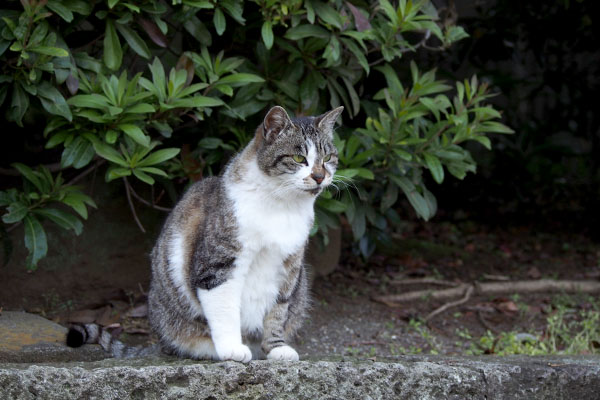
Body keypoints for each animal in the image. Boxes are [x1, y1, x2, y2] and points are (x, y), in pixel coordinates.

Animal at [67, 104, 342, 362]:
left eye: (328, 156)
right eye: (298, 158)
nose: (320, 176)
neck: (282, 206)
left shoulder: (288, 268)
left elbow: (277, 312)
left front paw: (276, 348)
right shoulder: (217, 266)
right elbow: (225, 310)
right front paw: (231, 349)